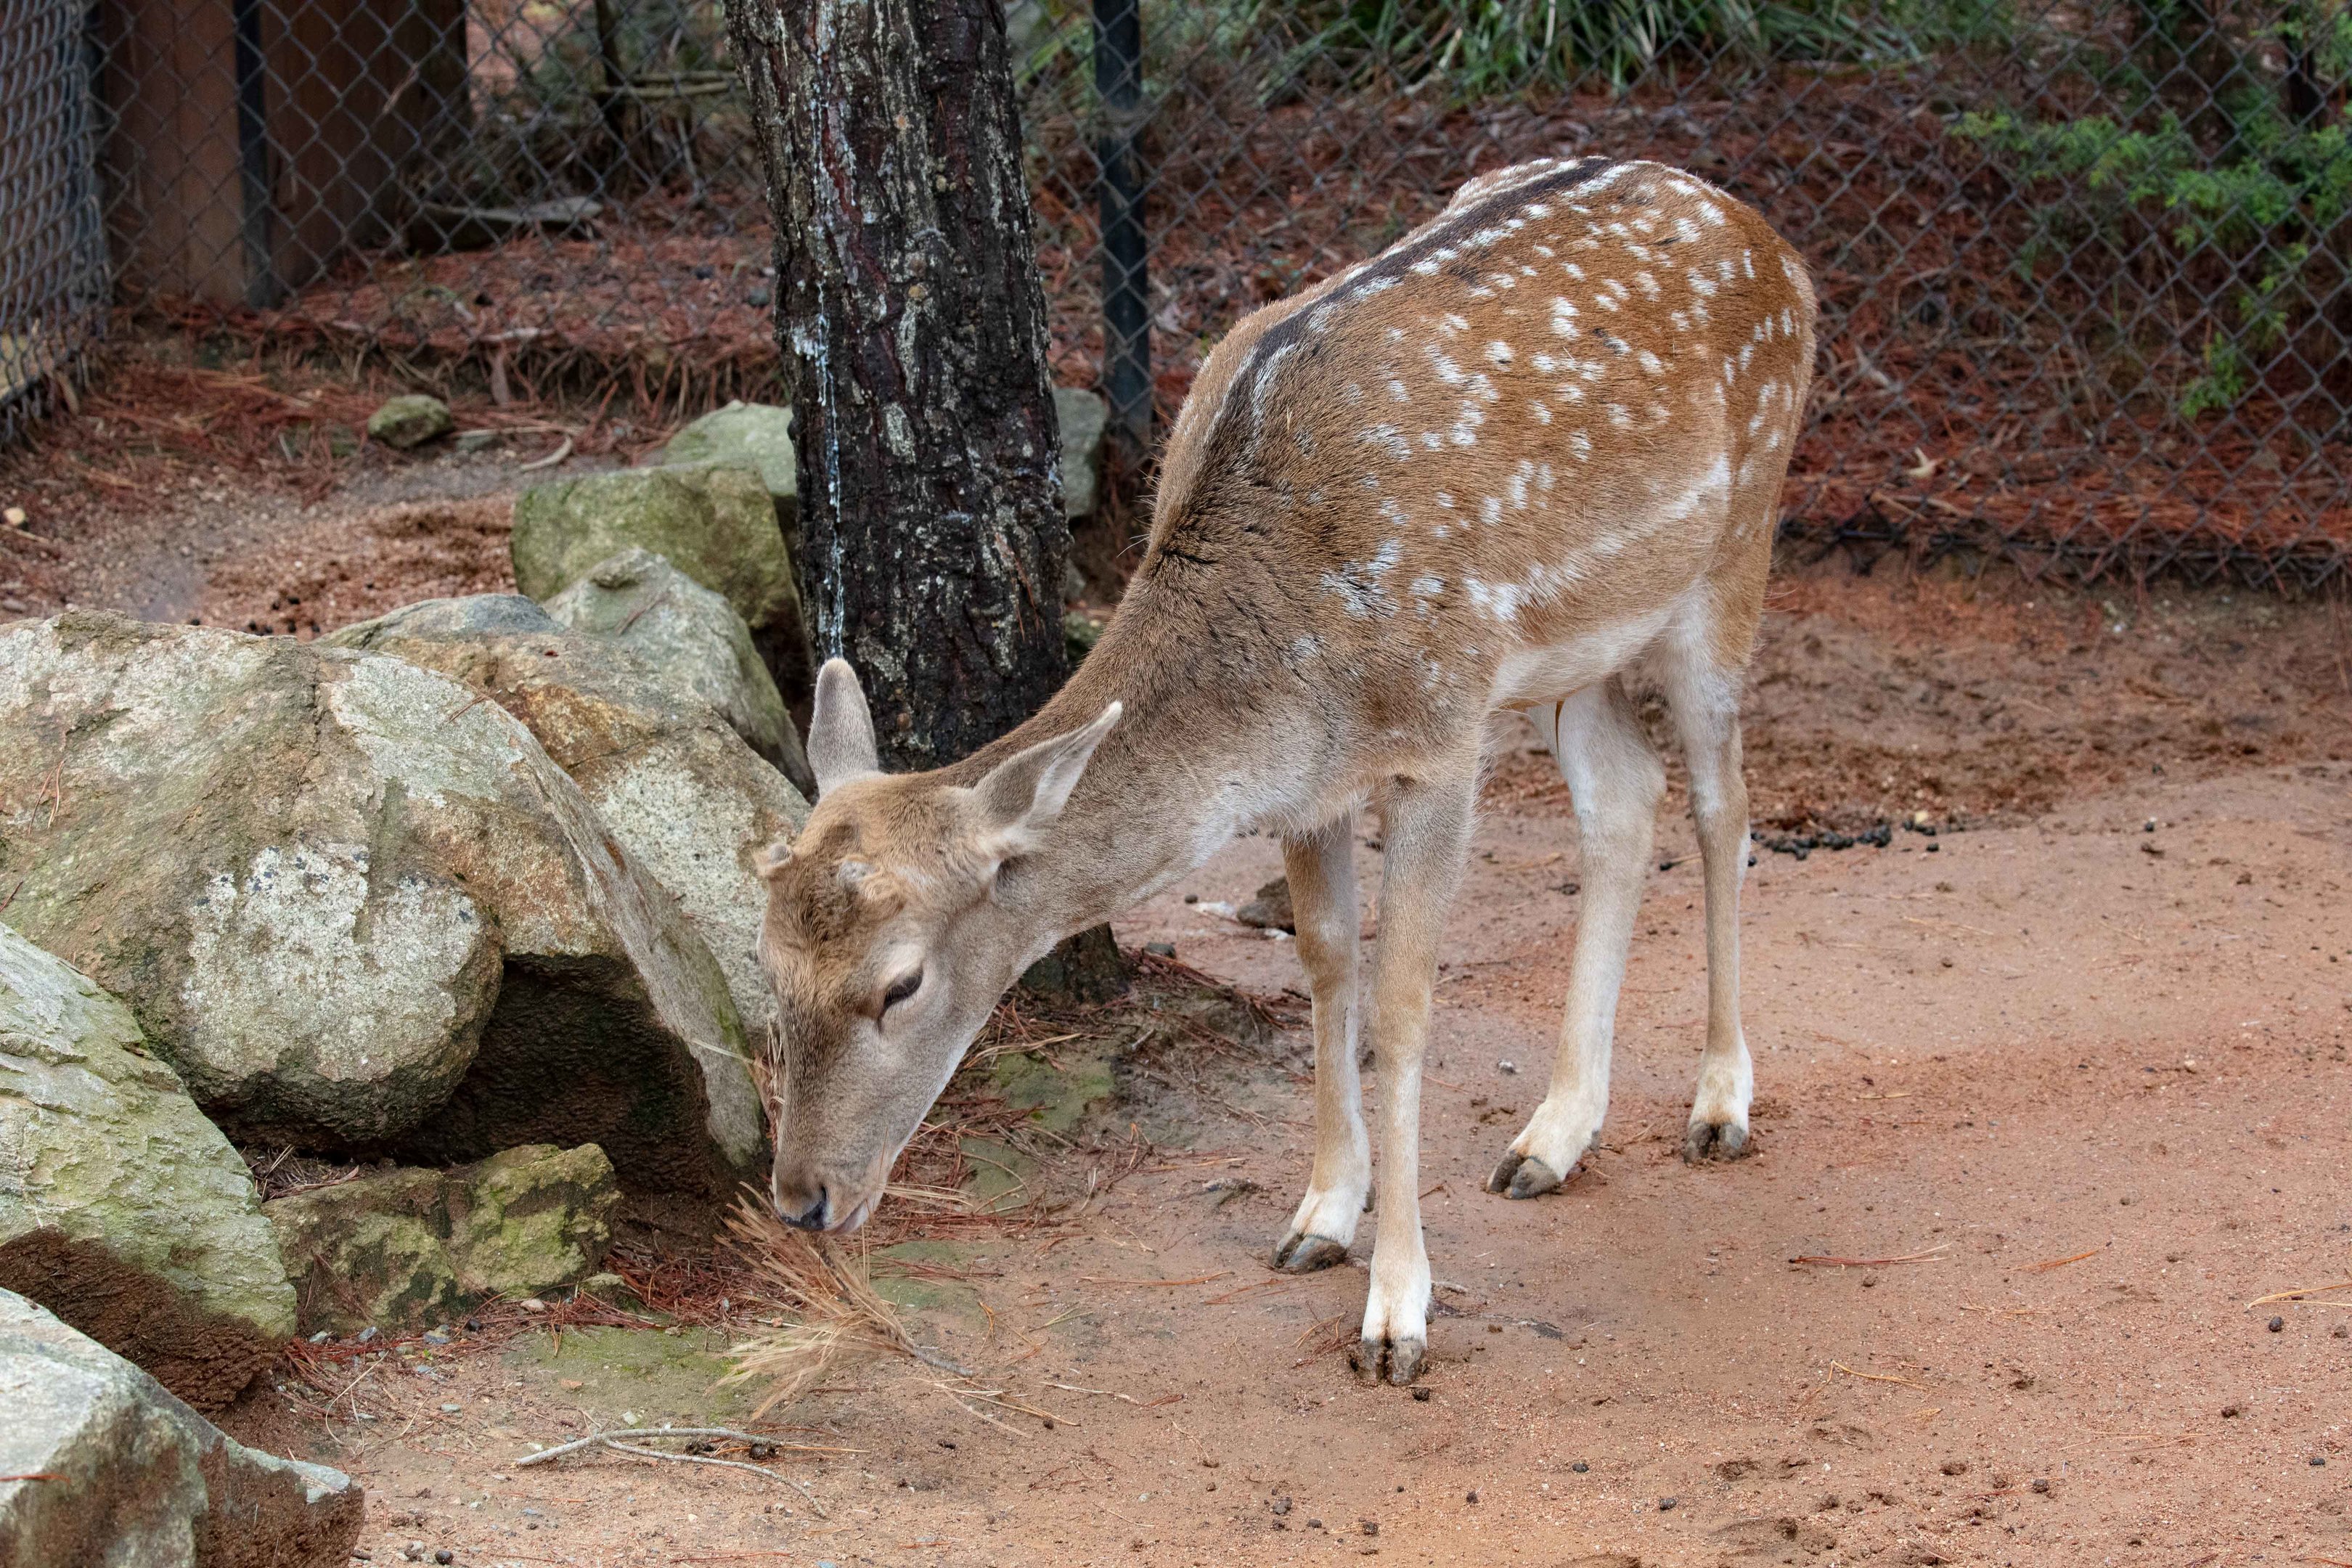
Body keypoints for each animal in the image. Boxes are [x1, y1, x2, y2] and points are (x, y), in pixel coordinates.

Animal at [752, 156, 1817, 1385]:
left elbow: (1402, 1003)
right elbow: (1325, 964)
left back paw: (1720, 1103)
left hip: (1738, 544)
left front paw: (1397, 1311)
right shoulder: (1308, 781)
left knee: (1724, 803)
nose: (802, 1199)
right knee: (1624, 802)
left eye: (902, 984)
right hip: (1581, 641)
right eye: (769, 967)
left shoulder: (1440, 733)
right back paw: (1553, 1138)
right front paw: (1320, 1217)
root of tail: (1775, 242)